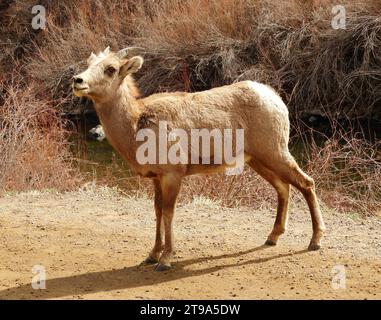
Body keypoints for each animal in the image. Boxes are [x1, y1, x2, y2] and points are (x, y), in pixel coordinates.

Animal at [72, 47, 326, 272]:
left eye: (111, 68)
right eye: (89, 62)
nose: (77, 80)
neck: (136, 126)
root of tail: (277, 100)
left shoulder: (173, 174)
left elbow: (168, 213)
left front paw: (165, 260)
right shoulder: (156, 177)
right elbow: (157, 211)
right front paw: (151, 256)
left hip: (275, 151)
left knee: (306, 183)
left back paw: (315, 241)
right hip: (258, 159)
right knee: (284, 187)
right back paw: (272, 237)